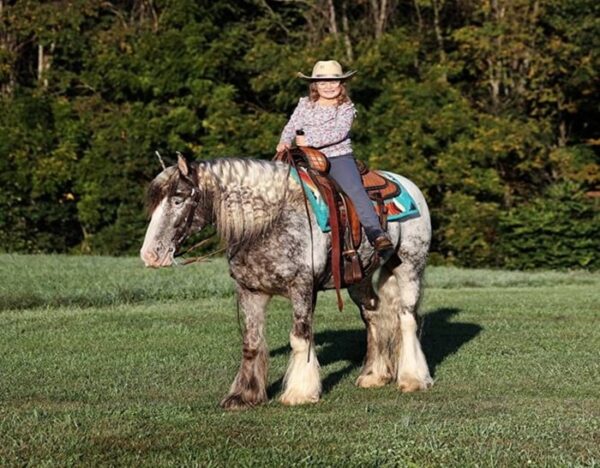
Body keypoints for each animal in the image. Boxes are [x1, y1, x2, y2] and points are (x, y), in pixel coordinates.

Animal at [141, 155, 432, 408]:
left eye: (178, 199)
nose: (150, 255)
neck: (268, 223)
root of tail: (407, 184)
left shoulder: (302, 287)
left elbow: (300, 337)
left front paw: (300, 392)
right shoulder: (250, 291)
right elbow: (251, 342)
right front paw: (244, 396)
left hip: (409, 266)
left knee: (406, 318)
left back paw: (413, 378)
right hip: (359, 278)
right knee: (374, 316)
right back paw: (374, 376)